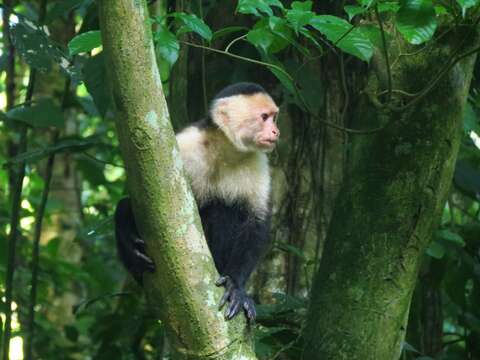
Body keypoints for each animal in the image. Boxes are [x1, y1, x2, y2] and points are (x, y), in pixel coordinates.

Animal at [116, 82, 280, 320]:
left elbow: (256, 224)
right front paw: (129, 239)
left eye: (274, 117)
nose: (276, 131)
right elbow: (140, 199)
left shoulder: (258, 161)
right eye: (264, 117)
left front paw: (236, 286)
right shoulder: (186, 144)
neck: (226, 149)